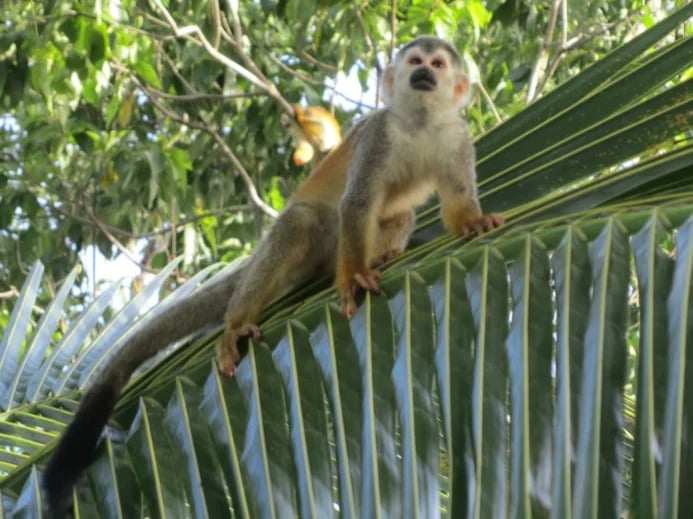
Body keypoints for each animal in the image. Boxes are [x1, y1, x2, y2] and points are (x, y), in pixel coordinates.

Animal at [43, 36, 503, 516]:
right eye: (415, 61)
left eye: (437, 64)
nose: (423, 75)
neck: (420, 123)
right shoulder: (378, 136)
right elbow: (357, 203)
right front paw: (353, 278)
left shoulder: (456, 138)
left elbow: (455, 200)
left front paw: (472, 223)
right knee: (301, 223)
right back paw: (240, 318)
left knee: (398, 214)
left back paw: (384, 252)